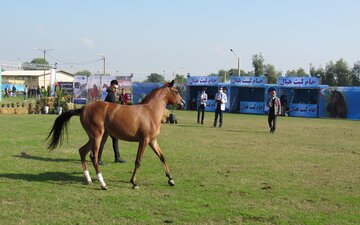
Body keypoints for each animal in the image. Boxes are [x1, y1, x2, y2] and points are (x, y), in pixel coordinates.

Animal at [46, 81, 184, 190]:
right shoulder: (144, 141)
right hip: (97, 136)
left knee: (82, 151)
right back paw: (103, 184)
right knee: (93, 156)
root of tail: (83, 108)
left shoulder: (152, 141)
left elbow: (162, 157)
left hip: (93, 137)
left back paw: (89, 180)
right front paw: (134, 183)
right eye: (176, 91)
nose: (182, 102)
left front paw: (170, 179)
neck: (150, 111)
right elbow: (138, 161)